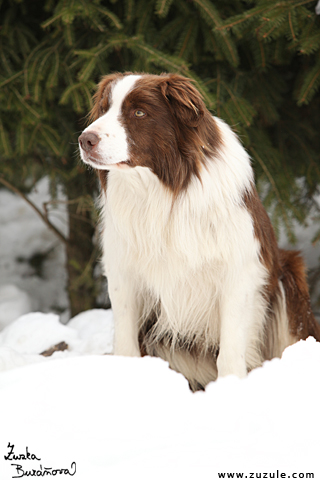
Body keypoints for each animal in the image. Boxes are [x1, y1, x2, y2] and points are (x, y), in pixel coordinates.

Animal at [78, 73, 320, 392]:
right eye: (104, 109)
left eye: (139, 113)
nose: (84, 140)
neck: (165, 188)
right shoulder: (123, 272)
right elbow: (126, 341)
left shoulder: (240, 272)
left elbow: (230, 349)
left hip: (288, 276)